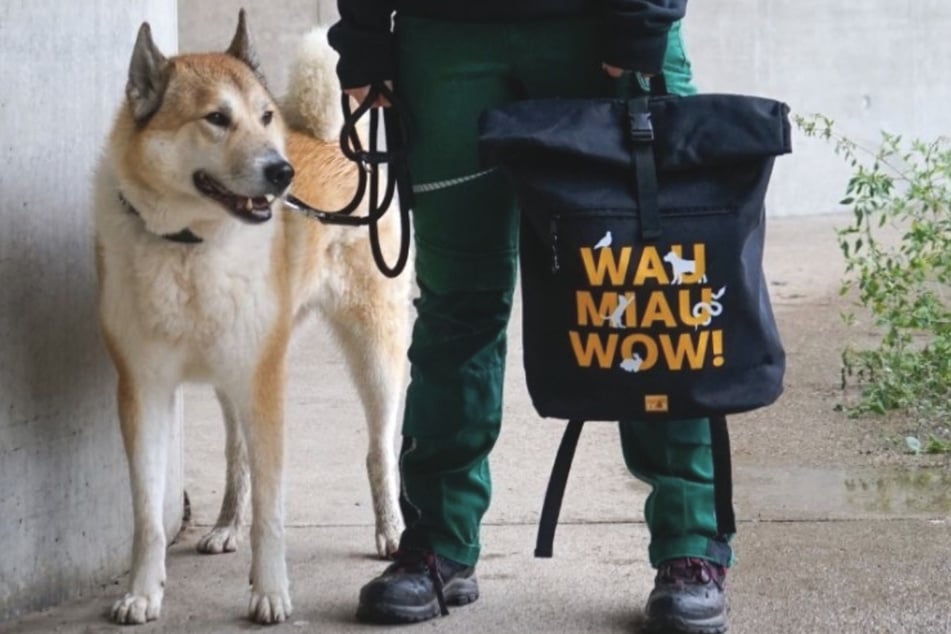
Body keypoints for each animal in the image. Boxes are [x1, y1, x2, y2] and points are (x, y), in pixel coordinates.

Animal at [93, 12, 412, 624]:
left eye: (264, 117)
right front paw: (143, 591)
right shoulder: (142, 389)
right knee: (236, 455)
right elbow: (146, 513)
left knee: (380, 449)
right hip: (232, 376)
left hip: (374, 351)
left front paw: (270, 591)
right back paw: (225, 525)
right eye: (216, 118)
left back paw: (391, 530)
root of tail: (322, 135)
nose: (282, 172)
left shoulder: (265, 384)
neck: (190, 245)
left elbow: (272, 509)